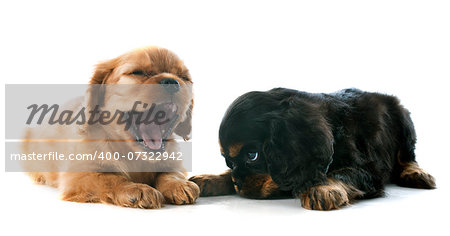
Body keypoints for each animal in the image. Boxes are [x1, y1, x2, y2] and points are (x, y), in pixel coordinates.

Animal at [191, 87, 436, 209]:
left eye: (252, 156)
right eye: (228, 161)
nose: (237, 183)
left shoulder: (369, 170)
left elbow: (342, 173)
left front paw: (323, 188)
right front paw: (211, 179)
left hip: (404, 120)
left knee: (408, 156)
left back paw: (416, 173)